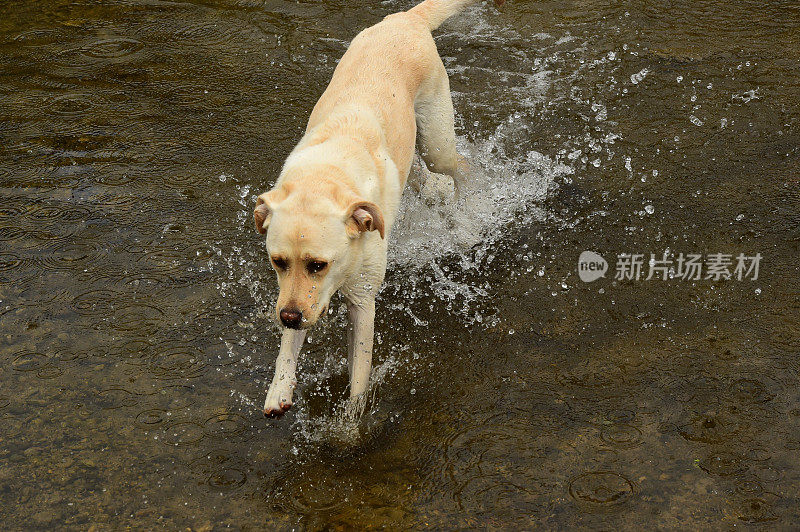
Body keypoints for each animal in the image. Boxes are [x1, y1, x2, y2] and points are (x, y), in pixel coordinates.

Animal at [253, 0, 504, 416]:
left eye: (318, 264)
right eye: (278, 262)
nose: (287, 317)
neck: (325, 178)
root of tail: (406, 18)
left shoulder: (362, 302)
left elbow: (358, 380)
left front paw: (351, 422)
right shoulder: (295, 299)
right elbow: (288, 346)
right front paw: (279, 390)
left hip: (437, 142)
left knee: (460, 168)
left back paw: (472, 211)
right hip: (413, 160)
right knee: (422, 183)